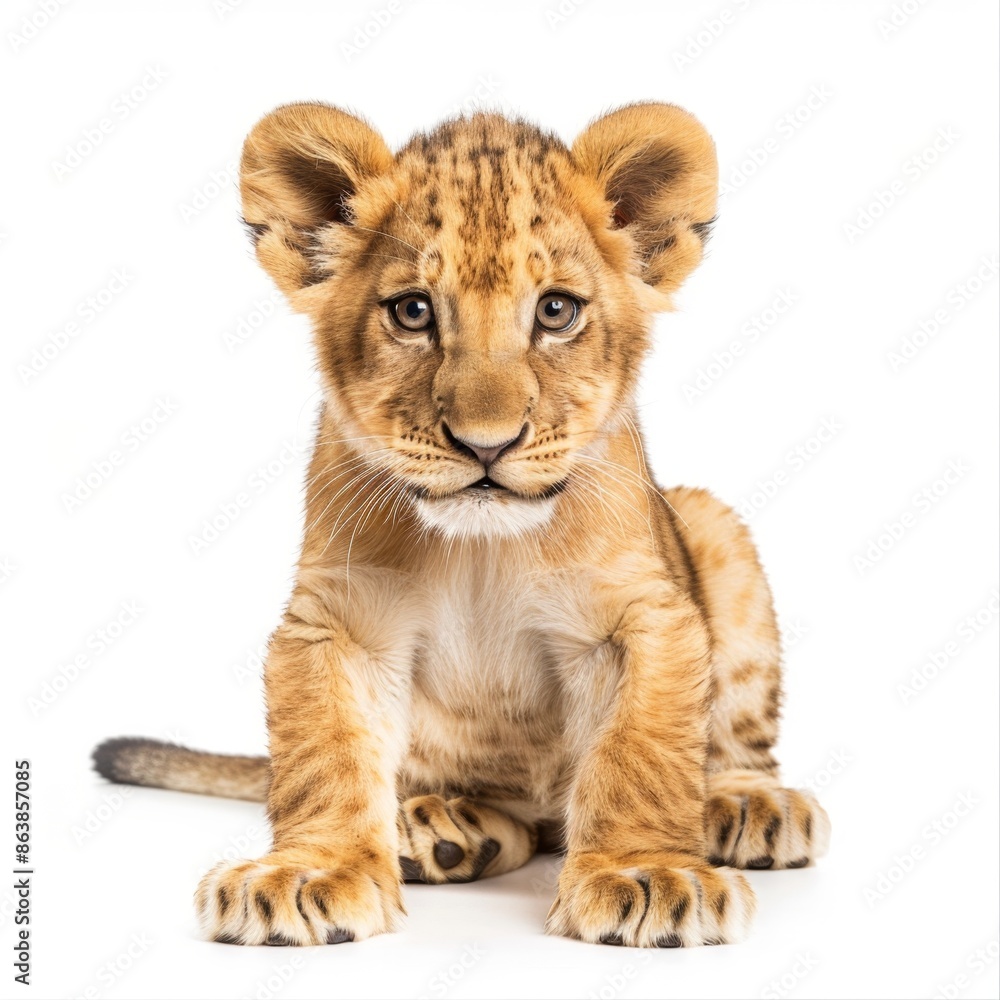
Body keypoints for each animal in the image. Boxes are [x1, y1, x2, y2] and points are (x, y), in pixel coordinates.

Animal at [93, 101, 829, 948]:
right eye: (413, 311)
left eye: (555, 311)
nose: (486, 443)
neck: (485, 549)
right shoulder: (339, 620)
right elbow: (323, 752)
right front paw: (309, 873)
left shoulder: (641, 614)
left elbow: (640, 751)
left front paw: (644, 873)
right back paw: (439, 829)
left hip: (712, 524)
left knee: (730, 742)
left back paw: (746, 805)